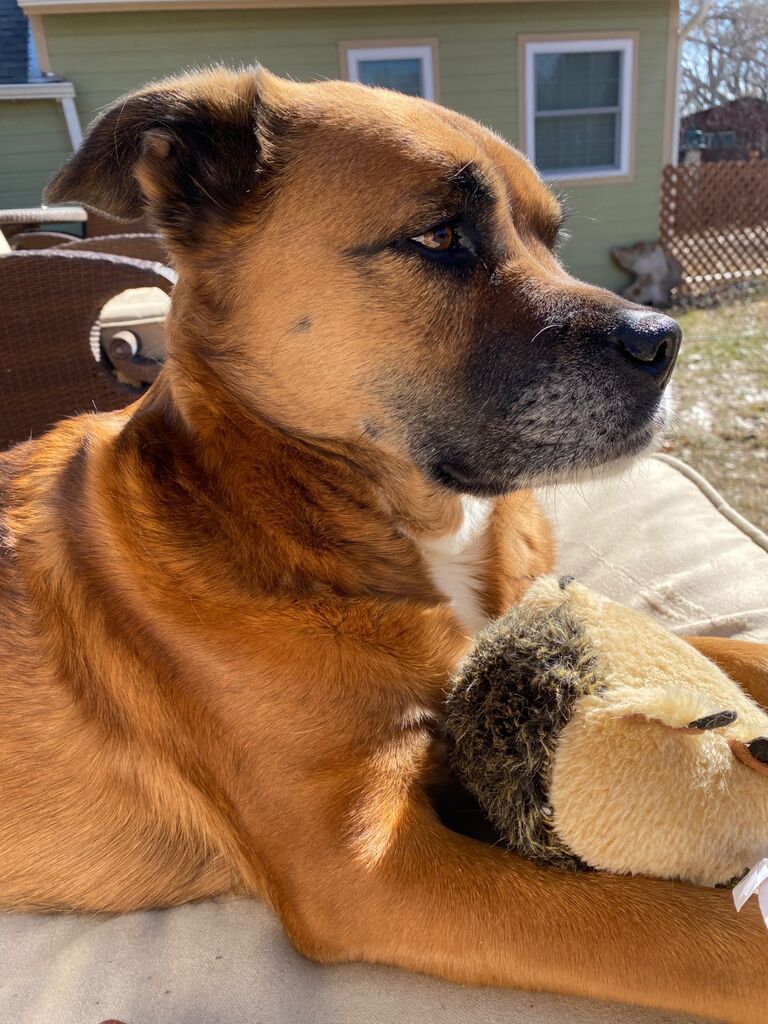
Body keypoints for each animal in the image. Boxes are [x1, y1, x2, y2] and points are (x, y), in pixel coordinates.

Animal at [4, 68, 768, 1019]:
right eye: (440, 236)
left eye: (550, 237)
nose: (666, 342)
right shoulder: (368, 861)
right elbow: (689, 936)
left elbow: (721, 650)